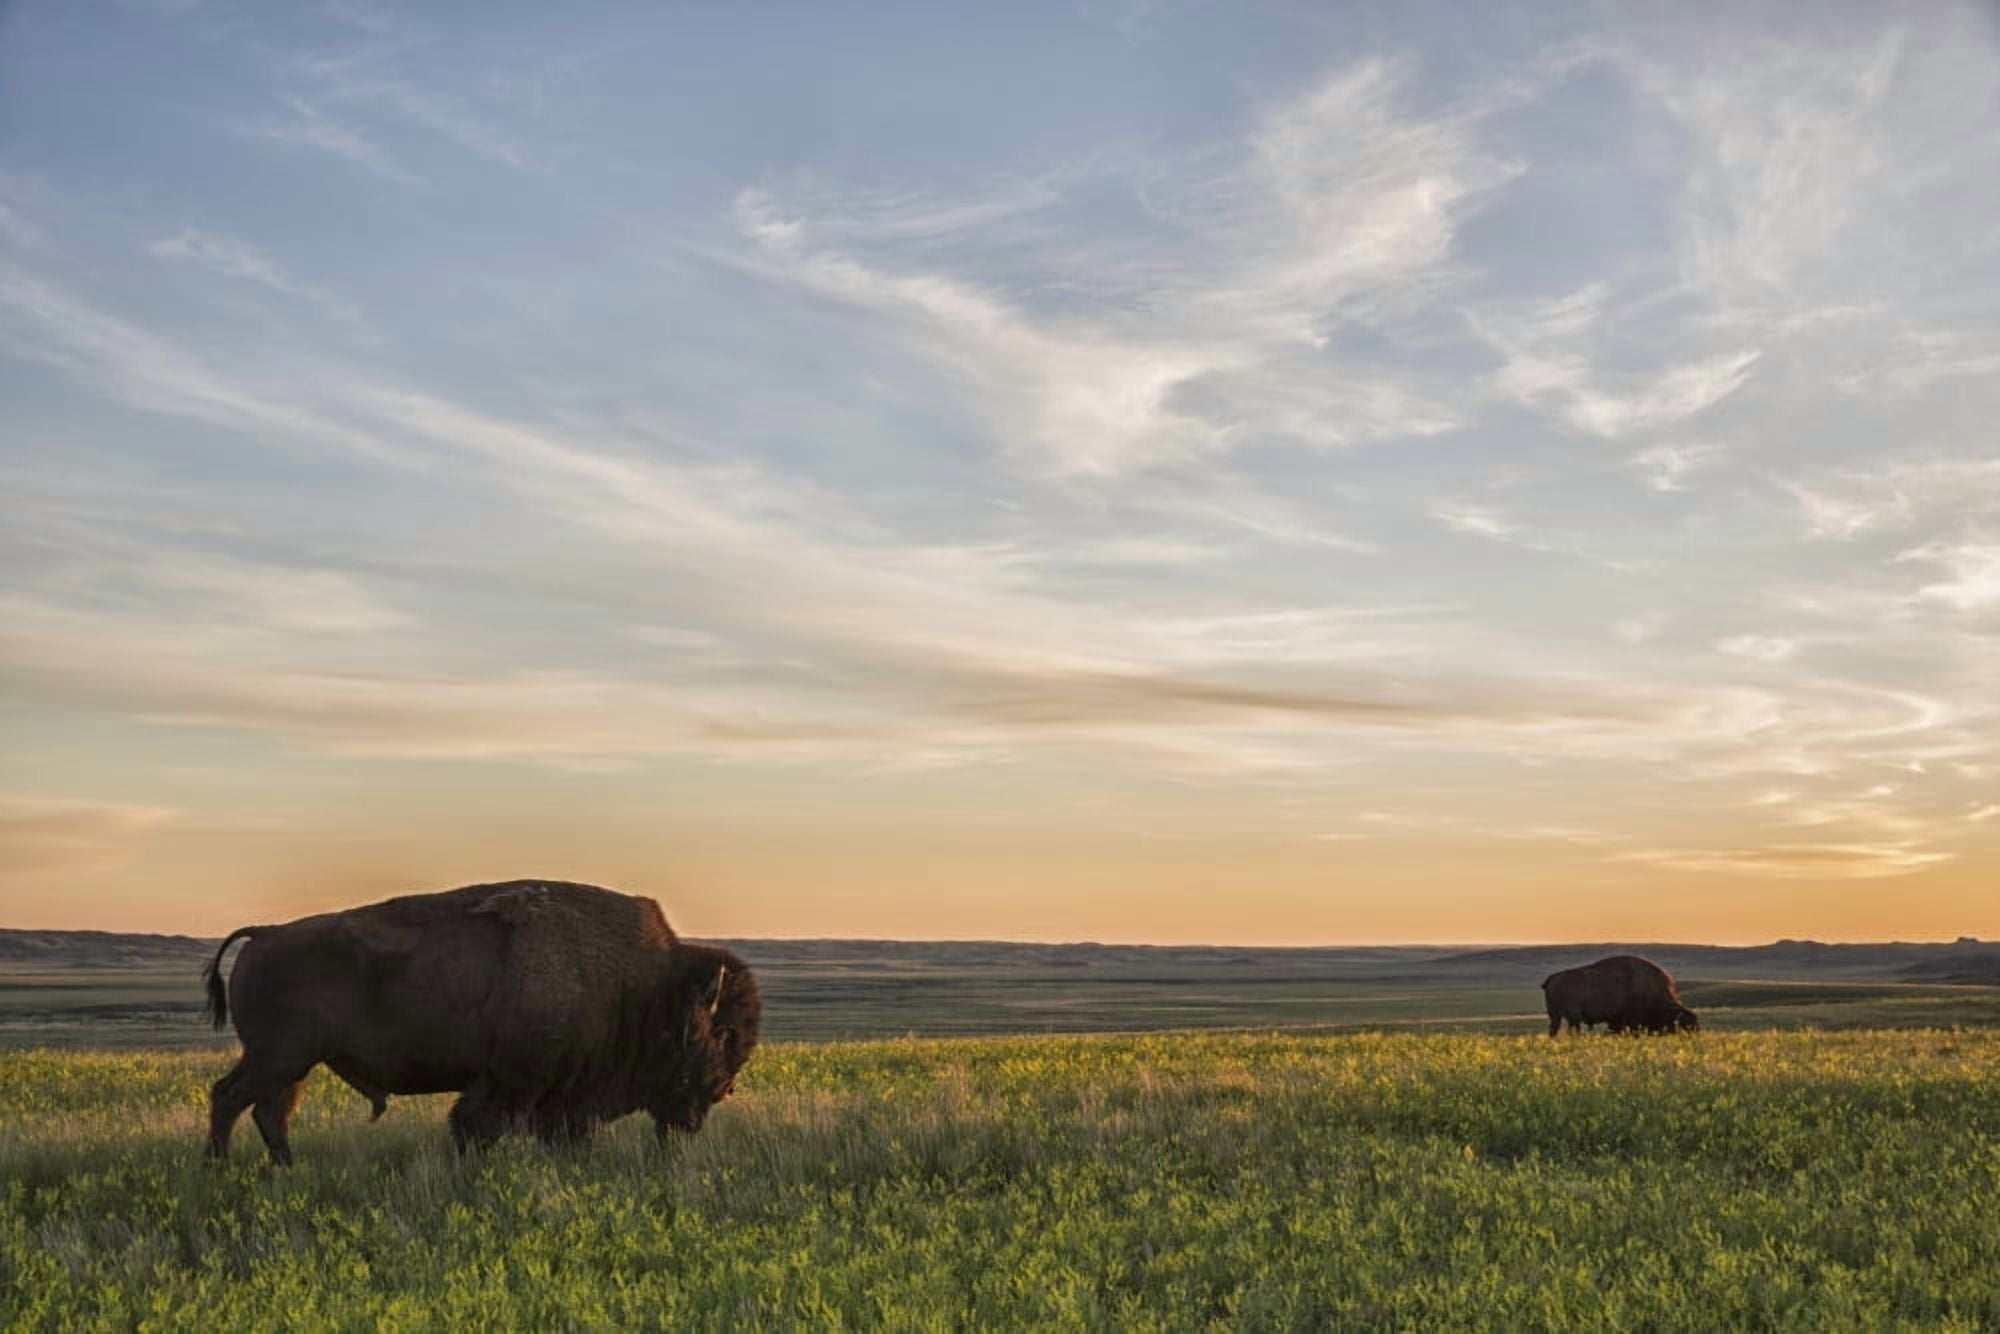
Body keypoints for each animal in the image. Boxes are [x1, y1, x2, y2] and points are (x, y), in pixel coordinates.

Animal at [202, 879, 761, 1163]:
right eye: (723, 1033)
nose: (722, 1091)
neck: (644, 984)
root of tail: (266, 933)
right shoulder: (510, 1083)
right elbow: (476, 1126)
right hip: (278, 1058)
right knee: (229, 1099)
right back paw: (220, 1170)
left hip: (292, 1064)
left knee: (268, 1111)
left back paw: (285, 1170)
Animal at [1542, 954, 1698, 1037]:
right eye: (1687, 1025)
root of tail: (1552, 978)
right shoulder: (1630, 1020)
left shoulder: (1616, 1021)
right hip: (1572, 1018)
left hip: (1556, 1016)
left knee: (1554, 1030)